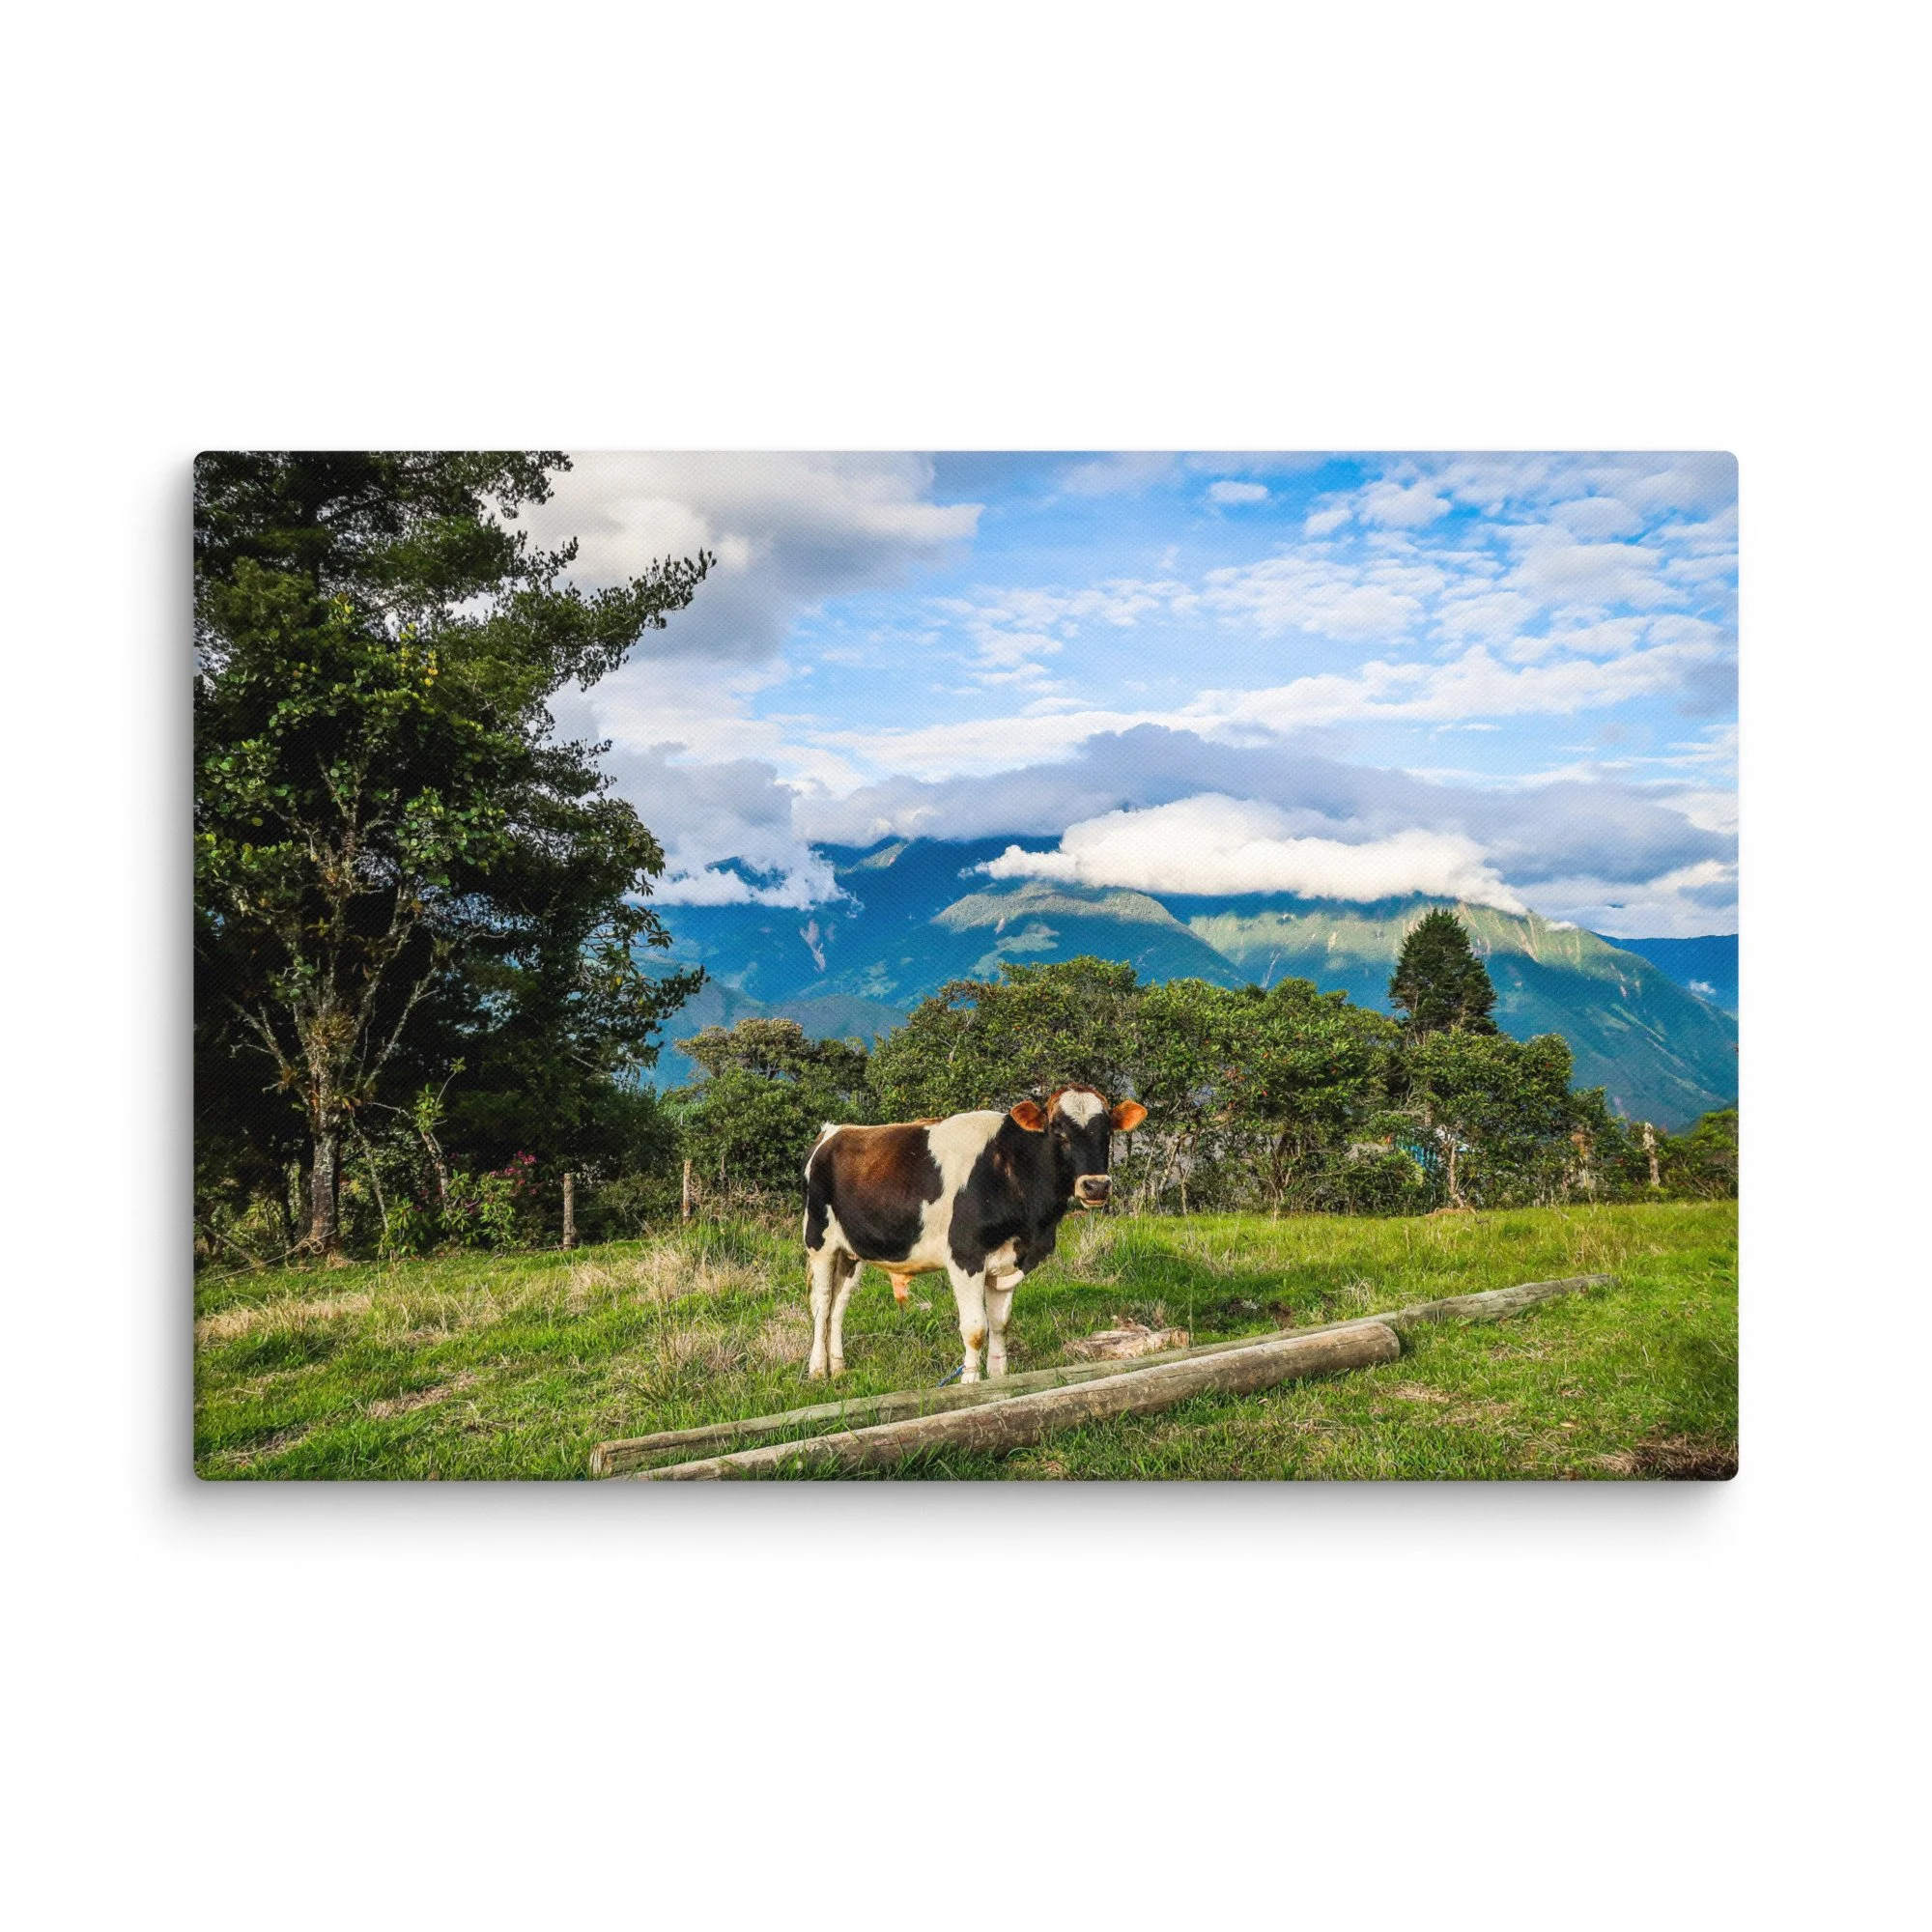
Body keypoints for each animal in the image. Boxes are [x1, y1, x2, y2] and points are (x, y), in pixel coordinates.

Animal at [802, 1085, 1149, 1383]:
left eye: (1107, 1133)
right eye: (1058, 1132)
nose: (1096, 1185)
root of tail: (834, 1131)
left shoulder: (1008, 1260)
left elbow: (1000, 1324)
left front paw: (997, 1379)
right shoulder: (965, 1257)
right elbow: (975, 1328)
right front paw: (970, 1382)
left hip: (851, 1252)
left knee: (839, 1303)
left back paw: (838, 1367)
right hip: (818, 1241)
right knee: (821, 1302)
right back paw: (818, 1370)